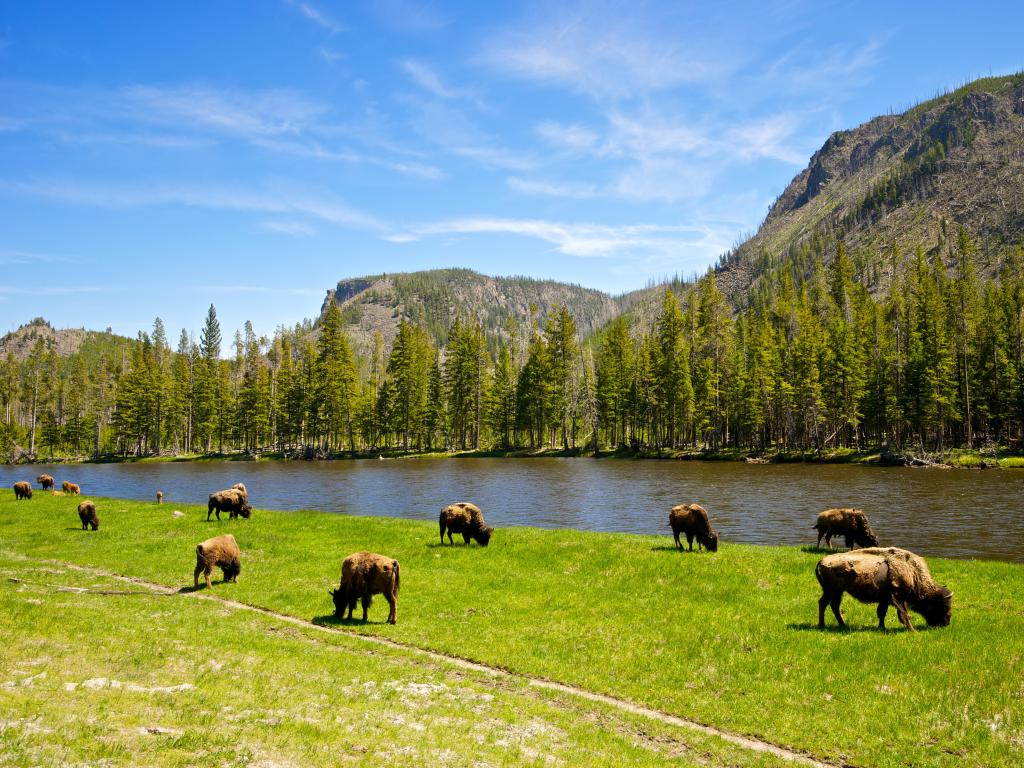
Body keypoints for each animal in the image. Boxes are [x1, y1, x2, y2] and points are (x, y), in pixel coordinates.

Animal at [815, 548, 950, 630]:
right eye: (940, 605)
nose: (946, 623)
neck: (912, 572)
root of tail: (821, 561)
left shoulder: (885, 599)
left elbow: (882, 613)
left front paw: (882, 627)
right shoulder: (898, 597)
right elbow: (903, 613)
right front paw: (912, 630)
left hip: (838, 592)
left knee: (833, 606)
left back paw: (843, 625)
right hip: (831, 590)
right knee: (823, 603)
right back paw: (822, 625)